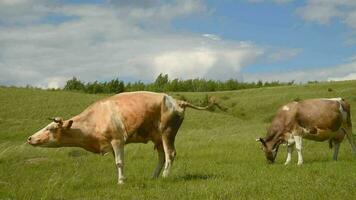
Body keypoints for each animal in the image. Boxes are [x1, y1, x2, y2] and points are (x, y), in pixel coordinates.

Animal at [27, 91, 218, 184]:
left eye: (51, 128)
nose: (29, 138)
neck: (95, 119)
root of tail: (177, 101)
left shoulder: (118, 140)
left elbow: (119, 162)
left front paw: (120, 182)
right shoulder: (111, 145)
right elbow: (116, 162)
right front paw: (121, 178)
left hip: (167, 133)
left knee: (170, 154)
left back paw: (164, 176)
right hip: (157, 137)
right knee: (162, 156)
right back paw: (154, 176)